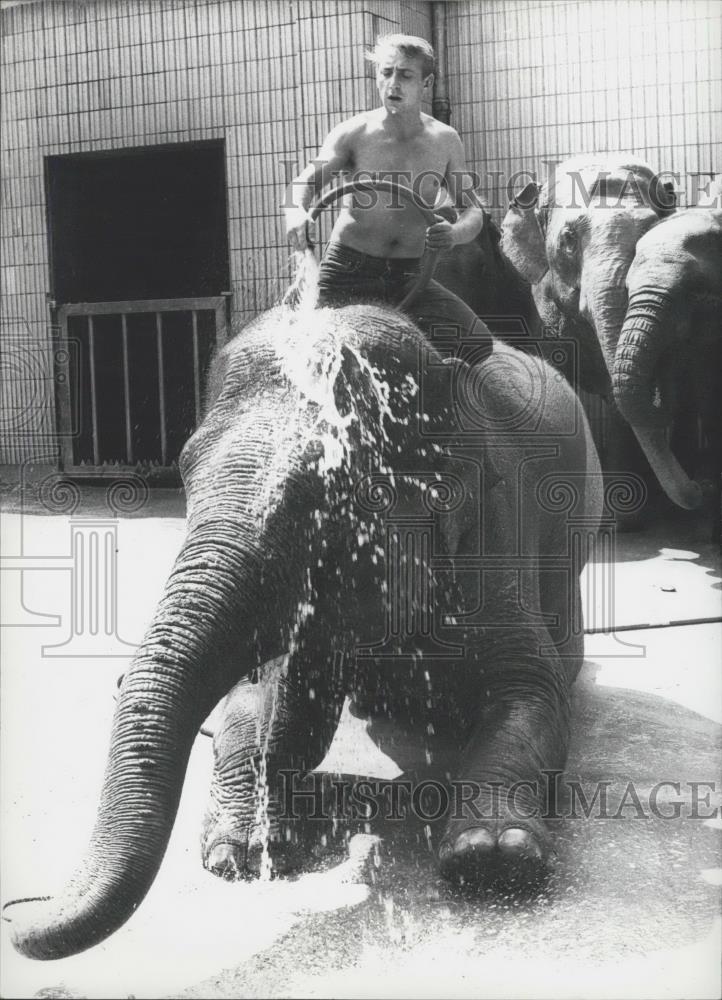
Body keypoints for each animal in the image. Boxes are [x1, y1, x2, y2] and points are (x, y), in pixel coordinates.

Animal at [5, 298, 600, 960]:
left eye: (328, 494)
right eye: (184, 471)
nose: (19, 912)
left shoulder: (496, 530)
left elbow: (532, 692)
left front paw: (491, 857)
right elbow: (272, 700)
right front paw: (244, 848)